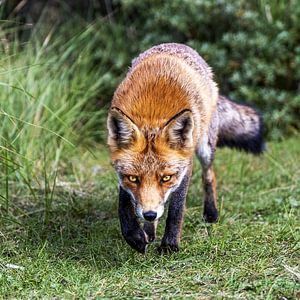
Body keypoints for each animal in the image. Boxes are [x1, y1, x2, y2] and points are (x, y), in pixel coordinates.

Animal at [106, 42, 264, 253]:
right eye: (133, 178)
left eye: (166, 178)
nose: (149, 214)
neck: (152, 115)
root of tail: (178, 45)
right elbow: (124, 203)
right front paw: (135, 235)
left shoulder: (184, 167)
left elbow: (176, 209)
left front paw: (169, 244)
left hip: (204, 147)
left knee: (209, 176)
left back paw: (211, 214)